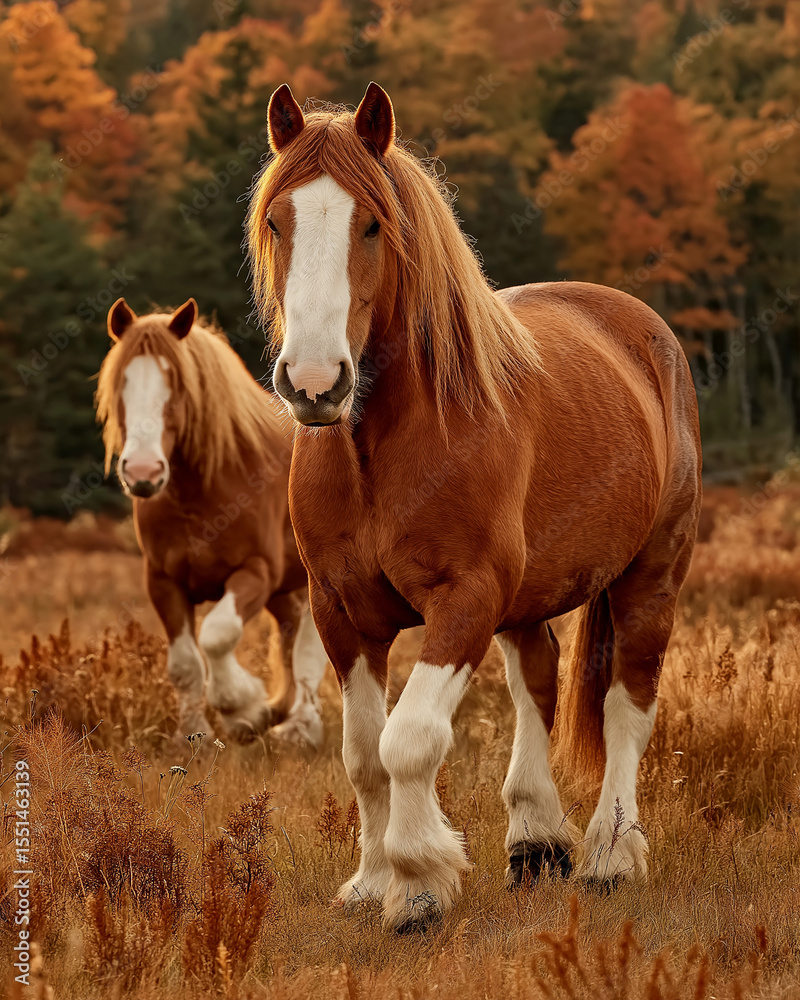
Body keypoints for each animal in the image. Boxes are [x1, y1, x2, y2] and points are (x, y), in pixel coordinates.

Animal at [95, 297, 328, 748]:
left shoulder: (255, 572)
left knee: (309, 648)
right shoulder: (163, 582)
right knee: (290, 634)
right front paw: (193, 734)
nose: (143, 472)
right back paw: (283, 711)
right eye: (121, 383)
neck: (202, 492)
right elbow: (185, 663)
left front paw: (243, 706)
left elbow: (218, 635)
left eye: (177, 386)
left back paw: (301, 728)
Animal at [246, 82, 702, 932]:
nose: (315, 383)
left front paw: (418, 884)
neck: (380, 450)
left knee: (628, 703)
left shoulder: (465, 599)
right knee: (538, 681)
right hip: (528, 599)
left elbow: (409, 740)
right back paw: (535, 842)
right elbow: (363, 755)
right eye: (276, 221)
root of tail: (643, 330)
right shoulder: (340, 612)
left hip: (651, 578)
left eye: (371, 223)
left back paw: (608, 855)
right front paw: (369, 881)